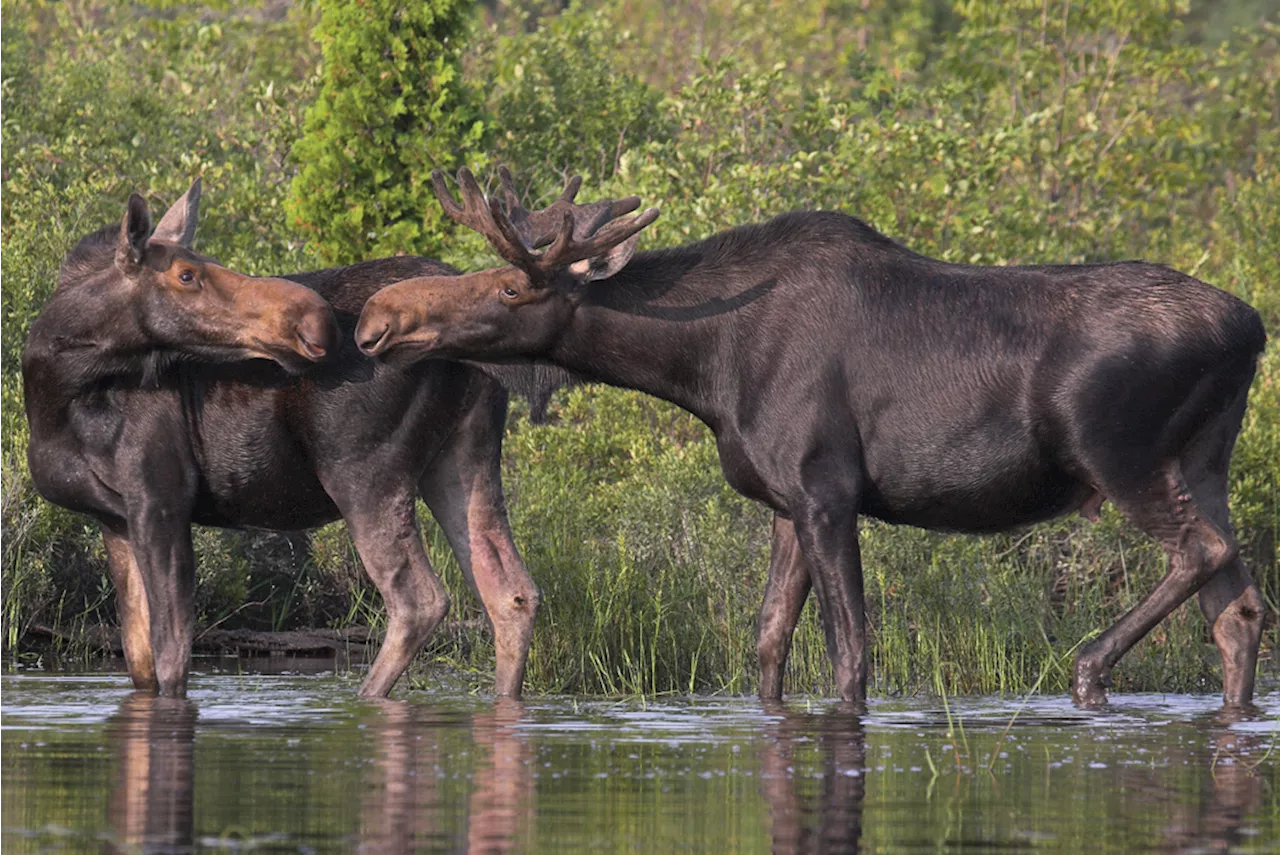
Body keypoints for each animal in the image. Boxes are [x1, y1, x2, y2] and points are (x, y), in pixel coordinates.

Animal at [21, 180, 550, 696]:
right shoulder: (113, 517)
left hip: (362, 469)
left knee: (420, 599)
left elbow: (172, 657)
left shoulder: (160, 497)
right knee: (510, 592)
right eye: (186, 275)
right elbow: (139, 660)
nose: (313, 320)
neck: (55, 393)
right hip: (462, 455)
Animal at [358, 166, 1269, 706]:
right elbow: (767, 645)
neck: (703, 367)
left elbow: (851, 657)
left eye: (512, 286)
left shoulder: (827, 491)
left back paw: (1087, 670)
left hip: (1118, 452)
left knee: (1203, 552)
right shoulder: (783, 502)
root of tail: (1252, 327)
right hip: (1205, 459)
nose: (377, 318)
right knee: (1240, 606)